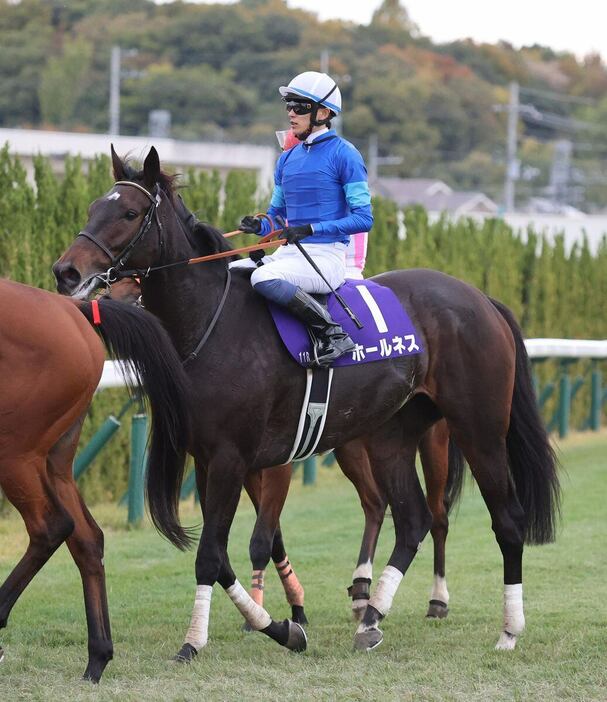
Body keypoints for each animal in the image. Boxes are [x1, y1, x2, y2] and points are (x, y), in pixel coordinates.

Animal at [0, 280, 192, 680]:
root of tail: (71, 309)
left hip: (13, 452)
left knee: (51, 527)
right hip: (54, 461)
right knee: (87, 538)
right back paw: (98, 656)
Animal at [53, 148, 560, 660]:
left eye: (130, 213)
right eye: (94, 207)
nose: (66, 272)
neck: (213, 323)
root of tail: (481, 298)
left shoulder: (234, 458)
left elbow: (213, 555)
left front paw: (194, 642)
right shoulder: (210, 458)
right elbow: (225, 557)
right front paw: (283, 627)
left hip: (478, 428)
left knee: (504, 520)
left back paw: (507, 629)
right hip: (393, 434)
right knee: (413, 519)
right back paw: (371, 617)